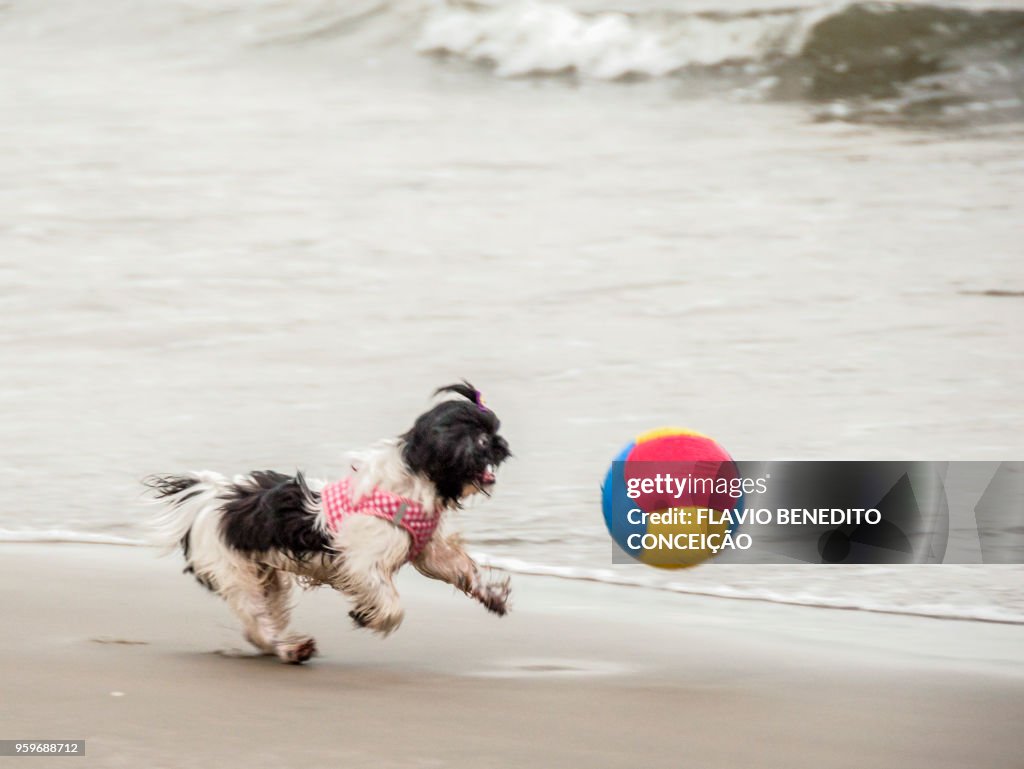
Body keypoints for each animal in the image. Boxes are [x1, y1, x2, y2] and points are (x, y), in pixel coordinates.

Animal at [144, 382, 512, 663]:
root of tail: (209, 499)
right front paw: (368, 616)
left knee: (262, 619)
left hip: (265, 578)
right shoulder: (365, 563)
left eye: (495, 431)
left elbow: (460, 568)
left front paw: (491, 594)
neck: (411, 482)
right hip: (235, 573)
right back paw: (290, 648)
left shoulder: (429, 550)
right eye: (481, 439)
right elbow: (391, 603)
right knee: (257, 619)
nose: (503, 444)